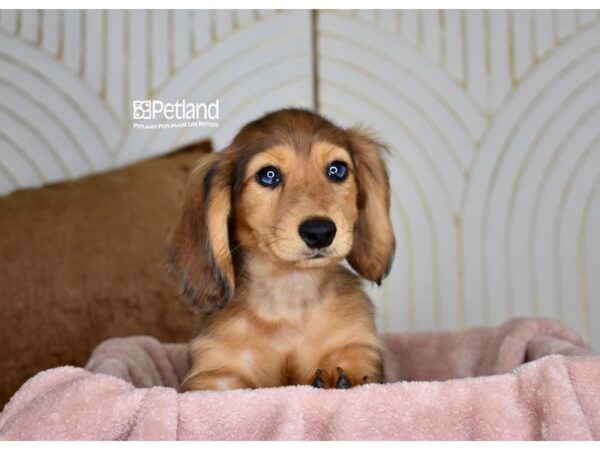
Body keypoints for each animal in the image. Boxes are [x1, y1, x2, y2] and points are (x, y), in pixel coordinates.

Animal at [169, 108, 394, 390]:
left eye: (337, 170)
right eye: (269, 175)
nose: (320, 232)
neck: (290, 300)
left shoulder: (356, 344)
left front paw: (340, 379)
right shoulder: (215, 372)